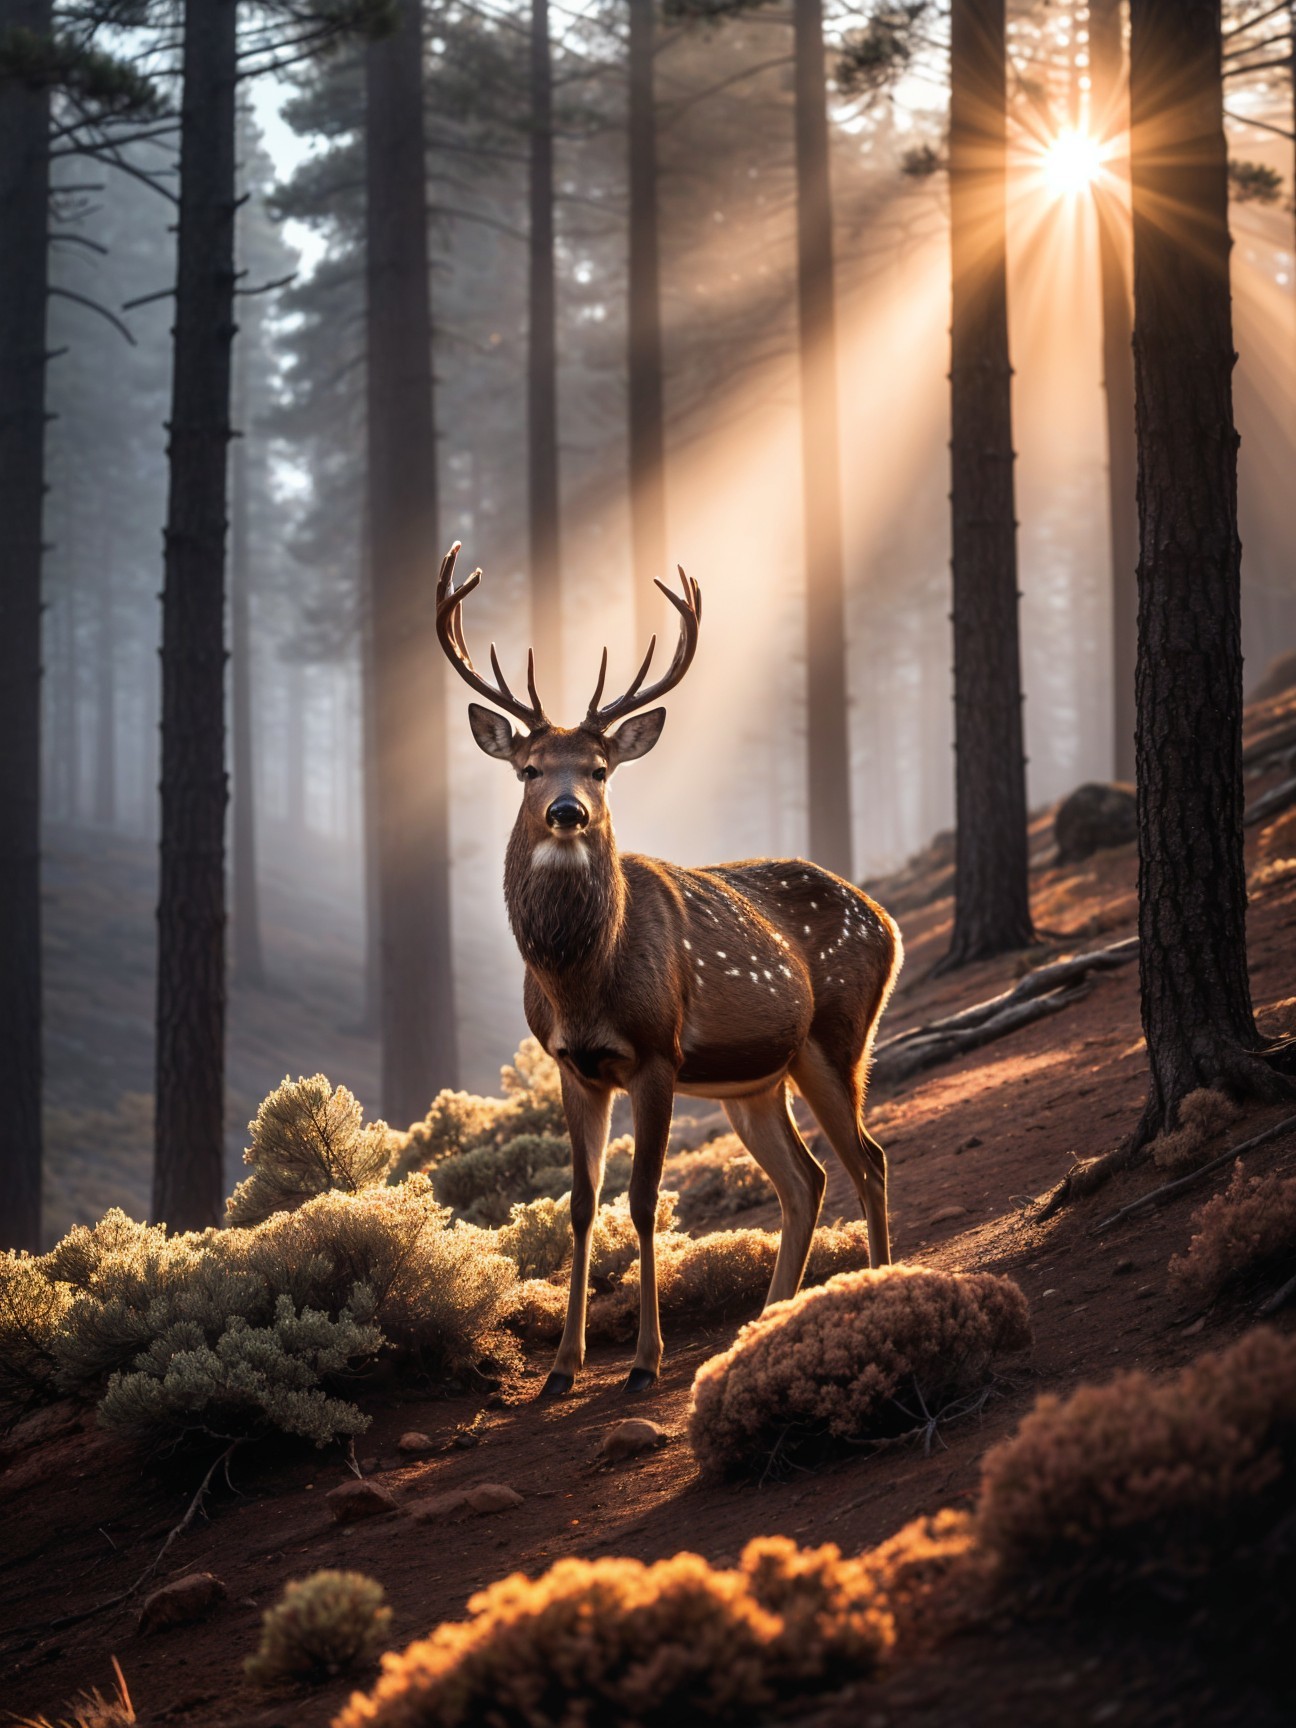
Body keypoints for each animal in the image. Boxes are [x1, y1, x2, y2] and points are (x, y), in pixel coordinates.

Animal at [435, 542, 902, 1397]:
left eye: (600, 769)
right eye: (528, 768)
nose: (567, 813)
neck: (581, 984)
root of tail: (887, 919)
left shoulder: (656, 1051)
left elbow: (647, 1199)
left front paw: (645, 1362)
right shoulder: (574, 1066)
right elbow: (581, 1202)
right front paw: (563, 1367)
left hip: (838, 1035)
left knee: (867, 1158)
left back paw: (879, 1285)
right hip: (756, 1081)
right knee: (806, 1179)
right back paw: (765, 1321)